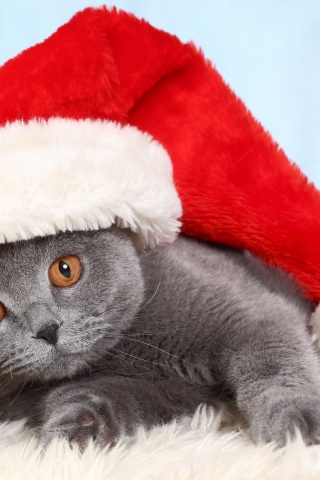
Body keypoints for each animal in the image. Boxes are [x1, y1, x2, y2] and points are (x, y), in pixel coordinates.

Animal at [0, 227, 320, 448]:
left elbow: (274, 366)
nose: (47, 329)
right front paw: (75, 435)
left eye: (65, 269)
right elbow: (98, 395)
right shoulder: (163, 390)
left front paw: (298, 426)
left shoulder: (250, 316)